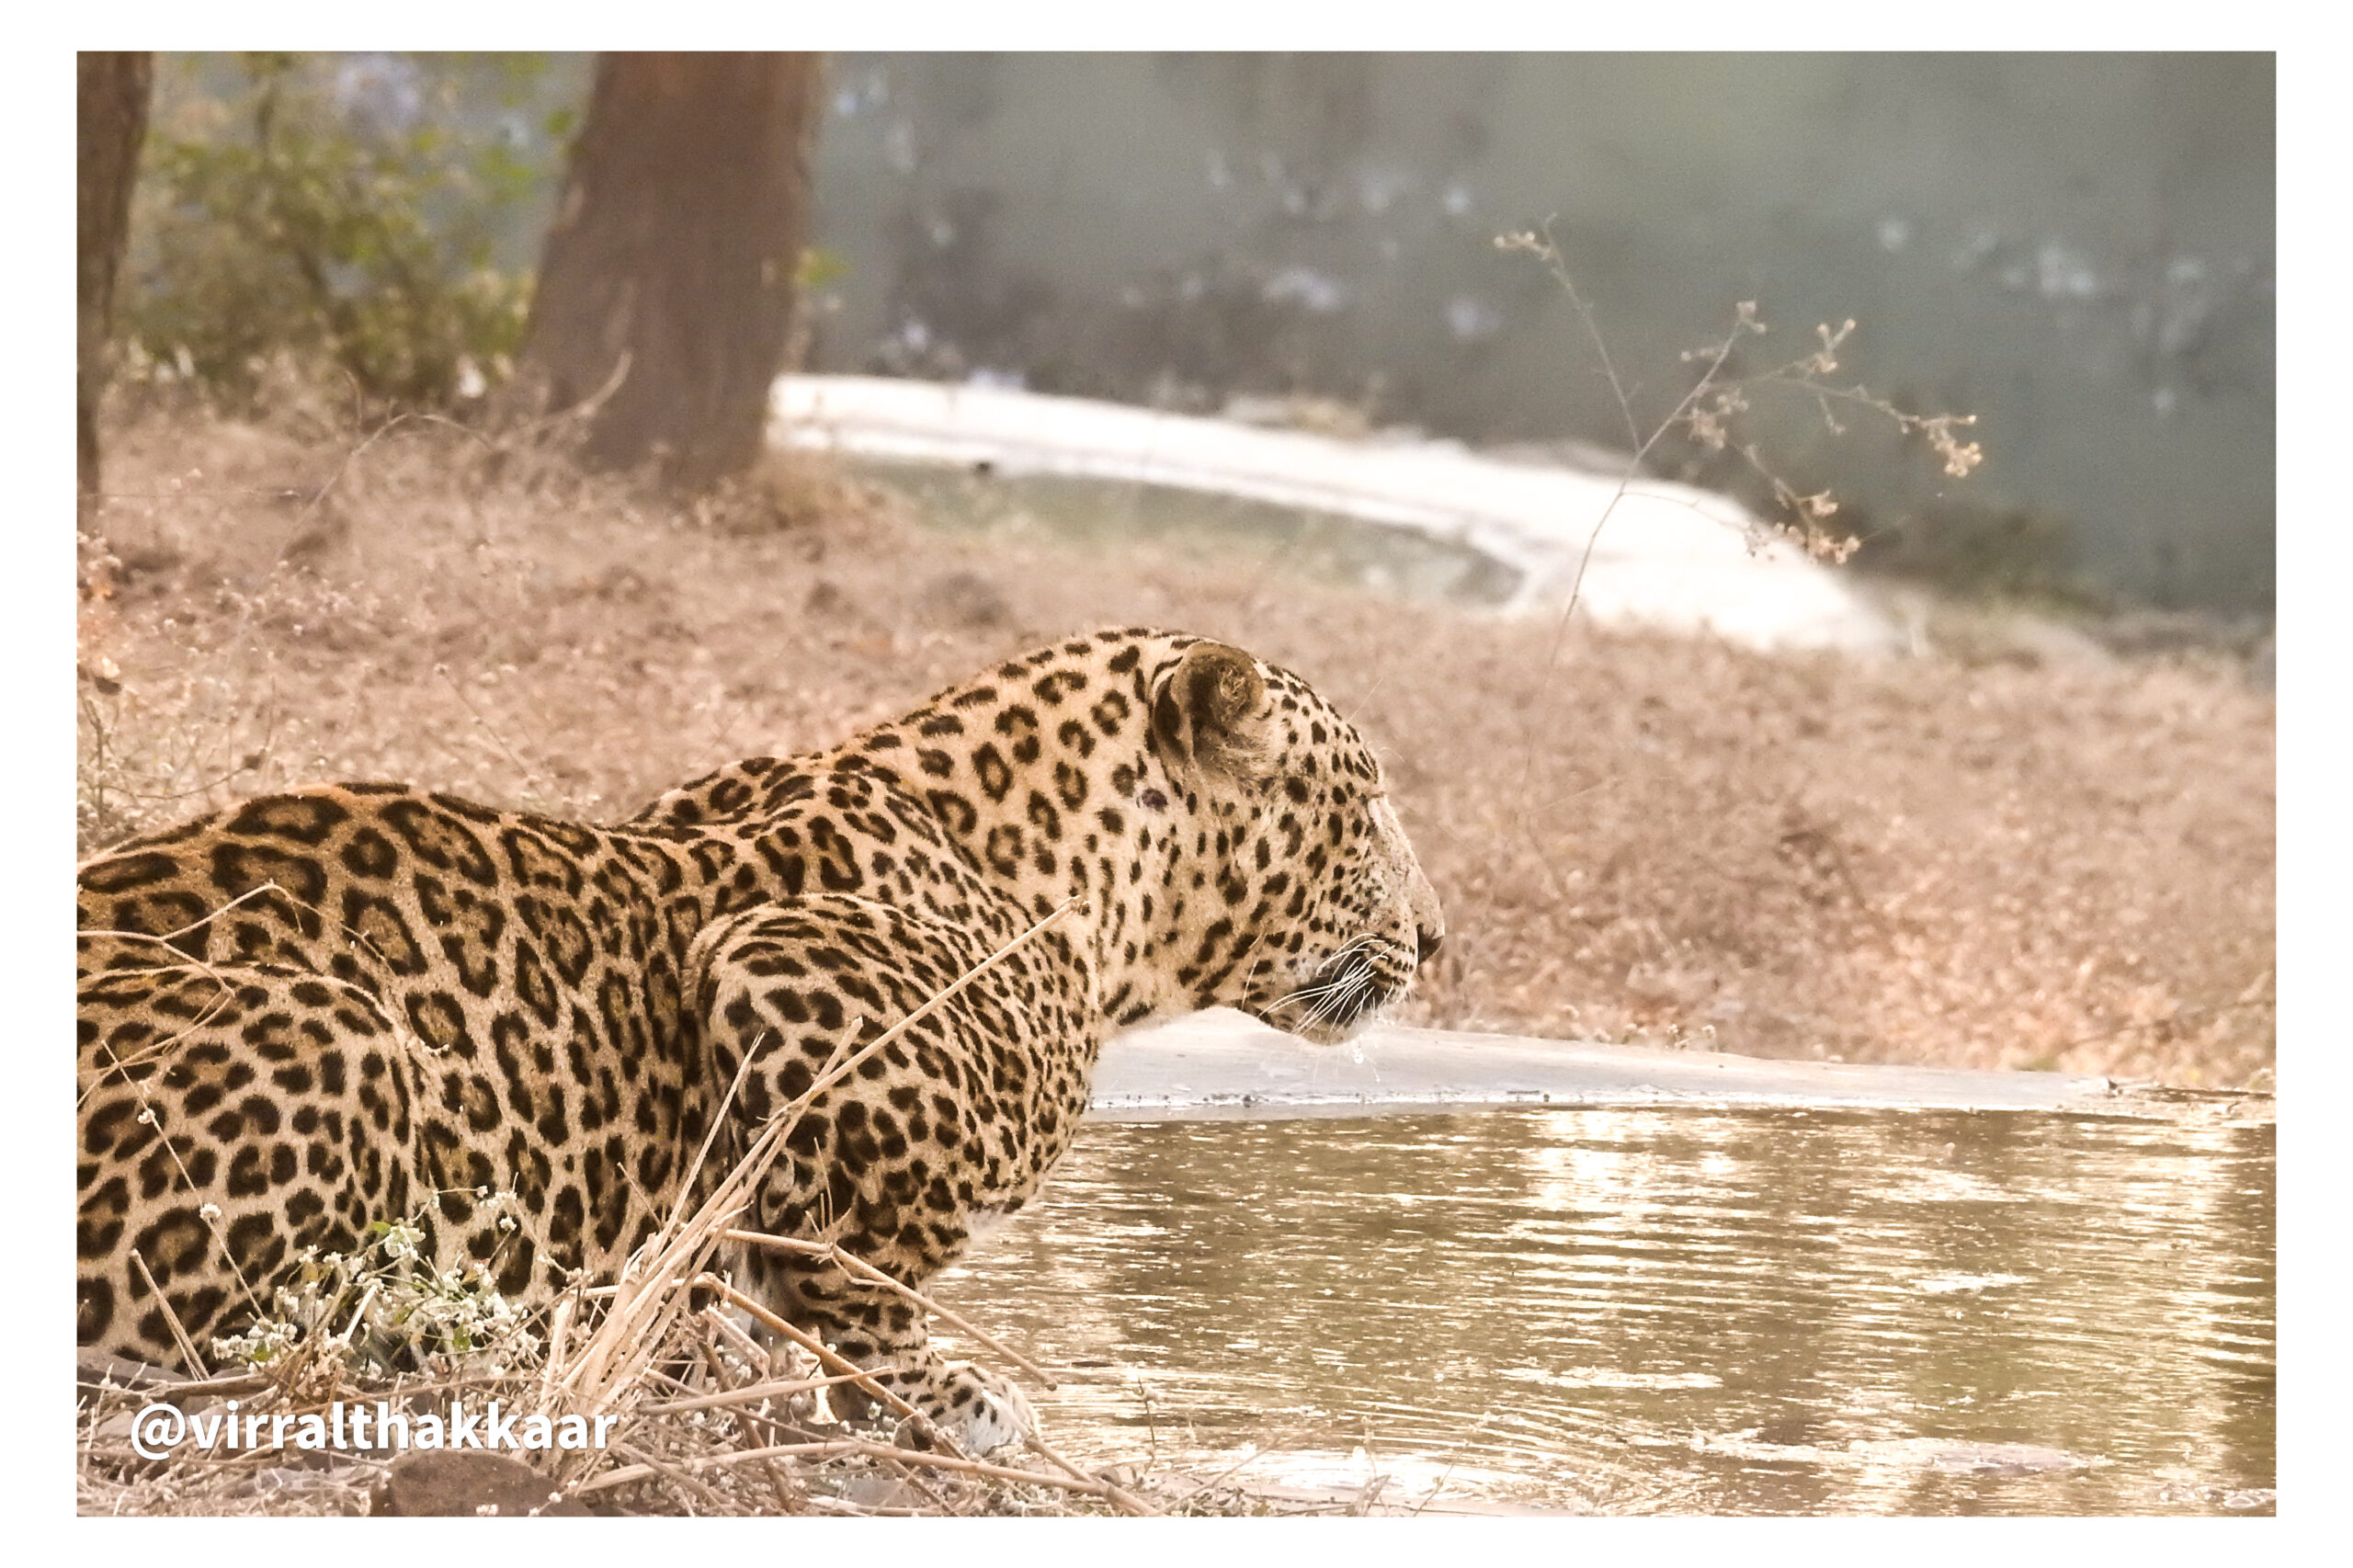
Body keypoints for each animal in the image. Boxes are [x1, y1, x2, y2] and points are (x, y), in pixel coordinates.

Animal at [77, 628, 1443, 1454]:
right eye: (1365, 803)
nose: (1434, 938)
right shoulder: (775, 969)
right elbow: (863, 1264)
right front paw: (932, 1390)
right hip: (348, 1032)